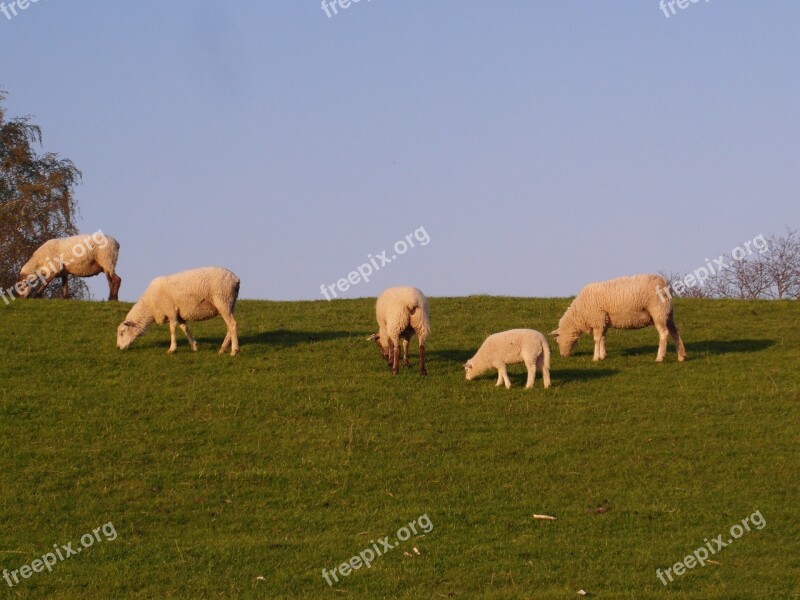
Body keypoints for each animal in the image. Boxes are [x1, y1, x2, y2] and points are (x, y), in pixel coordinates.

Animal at [552, 274, 688, 364]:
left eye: (557, 341)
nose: (563, 356)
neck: (580, 313)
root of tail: (665, 282)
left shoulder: (597, 319)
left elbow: (597, 339)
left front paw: (595, 358)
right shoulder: (604, 321)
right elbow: (603, 339)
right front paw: (602, 355)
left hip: (658, 311)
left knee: (664, 334)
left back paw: (660, 357)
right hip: (668, 313)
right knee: (675, 332)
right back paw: (681, 356)